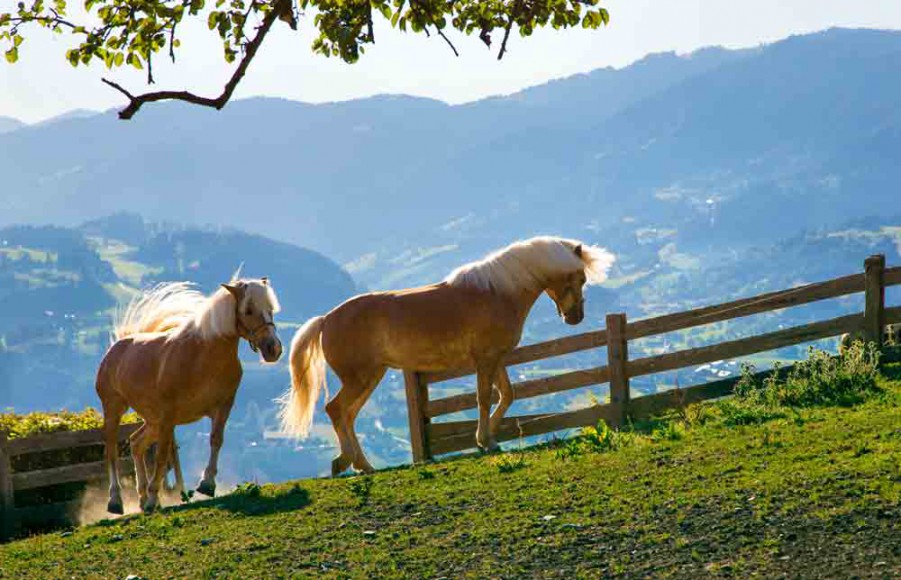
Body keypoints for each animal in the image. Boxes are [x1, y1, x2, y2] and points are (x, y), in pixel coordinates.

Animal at [95, 276, 282, 512]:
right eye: (248, 310)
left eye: (270, 309)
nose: (273, 349)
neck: (202, 356)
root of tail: (117, 347)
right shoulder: (168, 415)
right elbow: (161, 455)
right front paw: (154, 497)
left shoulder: (223, 407)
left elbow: (216, 440)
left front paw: (207, 484)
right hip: (115, 409)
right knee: (111, 452)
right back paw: (116, 500)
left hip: (152, 420)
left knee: (136, 443)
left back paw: (142, 497)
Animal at [282, 236, 616, 476]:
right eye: (580, 279)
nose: (575, 317)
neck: (498, 292)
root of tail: (327, 319)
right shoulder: (485, 361)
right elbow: (484, 397)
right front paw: (485, 441)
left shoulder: (497, 359)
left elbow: (507, 395)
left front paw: (488, 439)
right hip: (360, 378)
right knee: (336, 410)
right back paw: (350, 462)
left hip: (372, 377)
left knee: (347, 415)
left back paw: (360, 465)